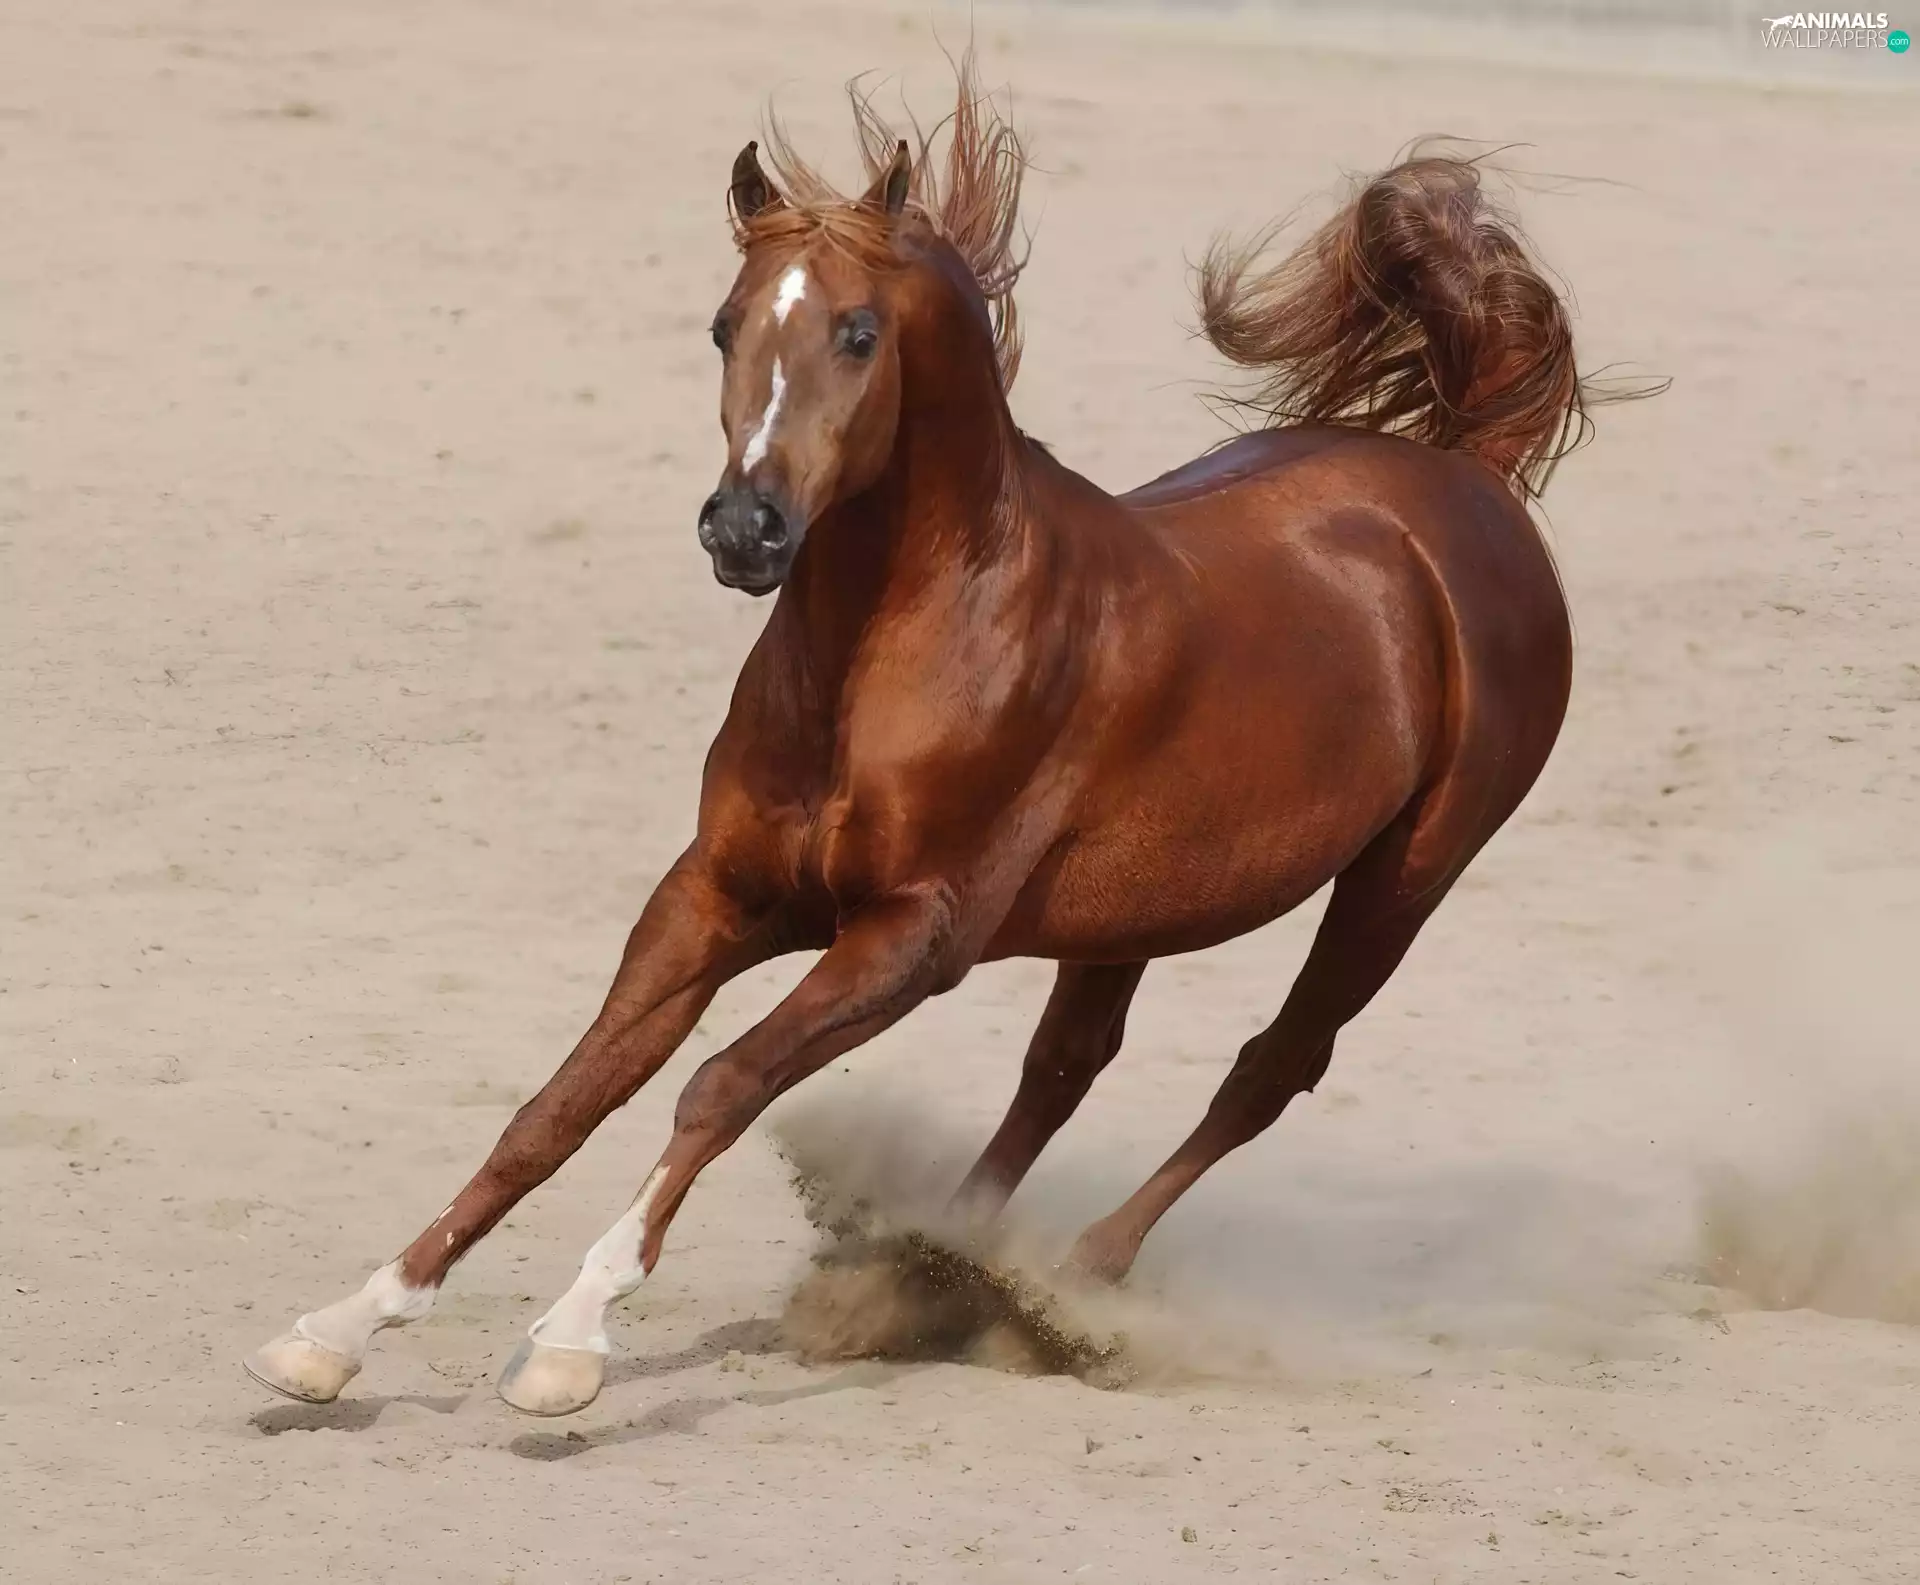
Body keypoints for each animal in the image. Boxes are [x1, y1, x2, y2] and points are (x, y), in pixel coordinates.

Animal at [247, 60, 1626, 1418]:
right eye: (723, 326)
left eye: (858, 333)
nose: (742, 530)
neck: (895, 650)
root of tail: (1467, 479)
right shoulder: (715, 894)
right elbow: (558, 1103)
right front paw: (337, 1330)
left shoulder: (914, 933)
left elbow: (719, 1085)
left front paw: (570, 1341)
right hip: (1142, 905)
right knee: (1067, 1063)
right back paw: (934, 1267)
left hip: (1407, 877)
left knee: (1271, 1064)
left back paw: (1072, 1286)